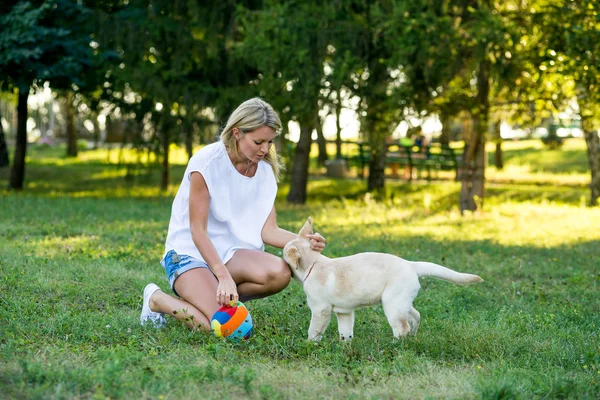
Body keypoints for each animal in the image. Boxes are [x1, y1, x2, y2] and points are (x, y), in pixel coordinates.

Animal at [284, 217, 486, 342]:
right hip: (401, 301)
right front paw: (345, 346)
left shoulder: (321, 309)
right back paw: (412, 336)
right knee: (415, 316)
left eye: (284, 255)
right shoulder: (345, 312)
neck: (314, 264)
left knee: (401, 327)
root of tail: (411, 265)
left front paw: (310, 344)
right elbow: (346, 331)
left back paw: (395, 345)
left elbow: (314, 330)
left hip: (392, 303)